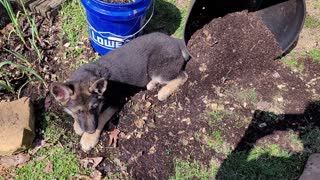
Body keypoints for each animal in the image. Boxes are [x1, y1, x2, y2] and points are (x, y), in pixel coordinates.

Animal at [50, 32, 190, 152]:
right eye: (78, 112)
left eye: (94, 108)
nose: (90, 131)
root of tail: (175, 41)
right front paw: (78, 127)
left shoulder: (116, 101)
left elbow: (101, 117)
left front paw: (89, 138)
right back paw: (152, 84)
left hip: (157, 68)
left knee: (183, 75)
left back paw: (164, 91)